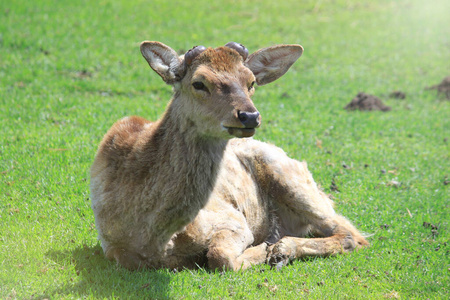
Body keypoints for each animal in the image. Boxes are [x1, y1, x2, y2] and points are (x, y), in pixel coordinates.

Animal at [89, 40, 368, 272]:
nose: (249, 116)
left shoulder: (233, 219)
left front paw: (268, 247)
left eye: (251, 82)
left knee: (352, 234)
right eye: (199, 83)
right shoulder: (112, 248)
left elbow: (221, 256)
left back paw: (282, 248)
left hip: (291, 178)